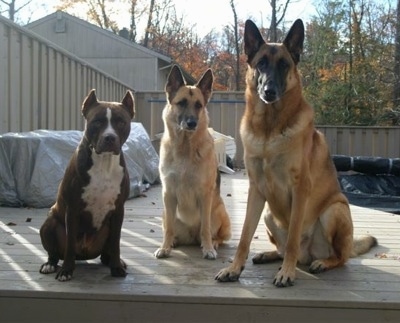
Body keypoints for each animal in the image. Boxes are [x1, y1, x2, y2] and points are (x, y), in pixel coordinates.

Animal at [39, 90, 135, 282]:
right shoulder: (73, 209)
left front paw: (116, 267)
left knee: (107, 252)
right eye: (97, 122)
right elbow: (69, 245)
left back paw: (115, 262)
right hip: (49, 223)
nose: (109, 137)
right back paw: (49, 264)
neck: (104, 162)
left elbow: (116, 243)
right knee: (54, 252)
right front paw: (66, 271)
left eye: (121, 122)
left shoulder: (118, 210)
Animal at [155, 65, 233, 260]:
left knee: (215, 234)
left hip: (218, 211)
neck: (185, 148)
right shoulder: (168, 193)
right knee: (171, 228)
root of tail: (191, 236)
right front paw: (165, 247)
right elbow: (169, 229)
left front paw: (208, 249)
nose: (191, 123)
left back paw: (212, 243)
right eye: (181, 103)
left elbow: (205, 228)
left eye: (198, 105)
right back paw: (173, 241)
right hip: (165, 212)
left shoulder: (205, 196)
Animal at [216, 19, 376, 288]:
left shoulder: (300, 189)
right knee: (282, 249)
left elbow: (291, 238)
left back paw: (320, 263)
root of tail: (307, 254)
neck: (269, 129)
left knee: (339, 256)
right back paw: (269, 254)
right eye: (261, 63)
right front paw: (234, 268)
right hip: (269, 213)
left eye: (284, 65)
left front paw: (287, 273)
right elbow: (245, 237)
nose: (269, 91)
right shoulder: (256, 190)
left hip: (335, 210)